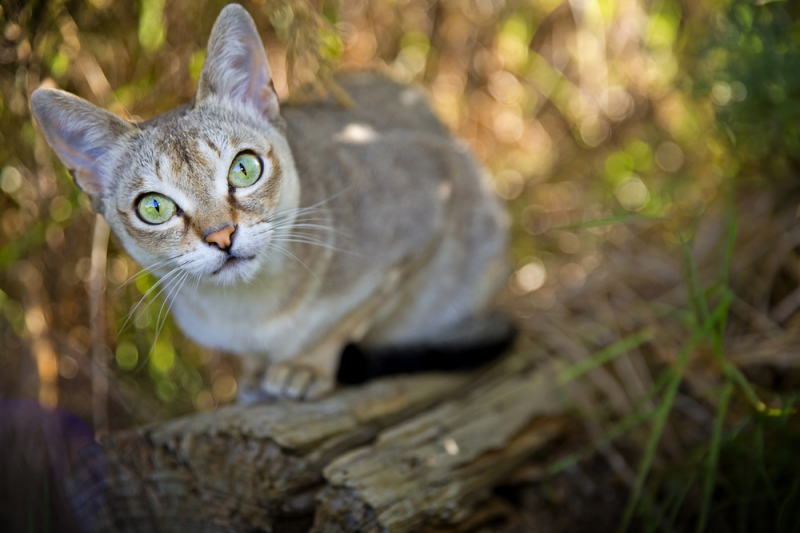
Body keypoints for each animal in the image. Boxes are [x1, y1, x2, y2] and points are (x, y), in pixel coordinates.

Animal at [31, 3, 512, 400]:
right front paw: (253, 375)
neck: (249, 313)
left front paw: (305, 366)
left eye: (244, 168)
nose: (222, 236)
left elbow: (350, 319)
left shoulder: (432, 193)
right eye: (154, 208)